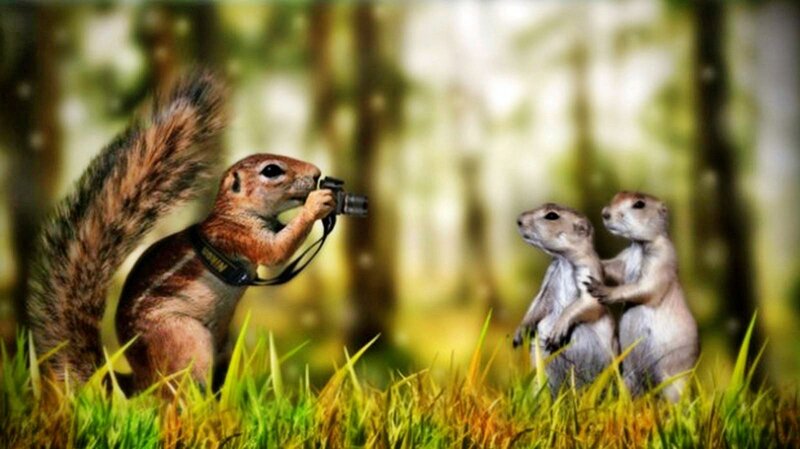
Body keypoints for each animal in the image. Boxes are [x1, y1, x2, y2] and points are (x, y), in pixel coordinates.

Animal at [26, 72, 335, 391]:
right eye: (271, 170)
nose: (316, 173)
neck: (234, 213)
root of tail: (141, 379)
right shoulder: (234, 236)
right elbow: (275, 251)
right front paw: (317, 203)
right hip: (183, 338)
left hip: (222, 346)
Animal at [513, 203, 618, 394]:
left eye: (552, 216)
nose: (518, 220)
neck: (564, 260)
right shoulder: (549, 276)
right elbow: (539, 303)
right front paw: (520, 332)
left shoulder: (589, 270)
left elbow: (588, 302)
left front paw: (557, 330)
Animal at [586, 191, 699, 402]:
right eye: (617, 195)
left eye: (639, 204)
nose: (605, 213)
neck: (639, 246)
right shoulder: (625, 256)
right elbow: (615, 268)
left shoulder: (662, 257)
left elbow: (646, 286)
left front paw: (603, 290)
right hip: (629, 377)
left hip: (673, 380)